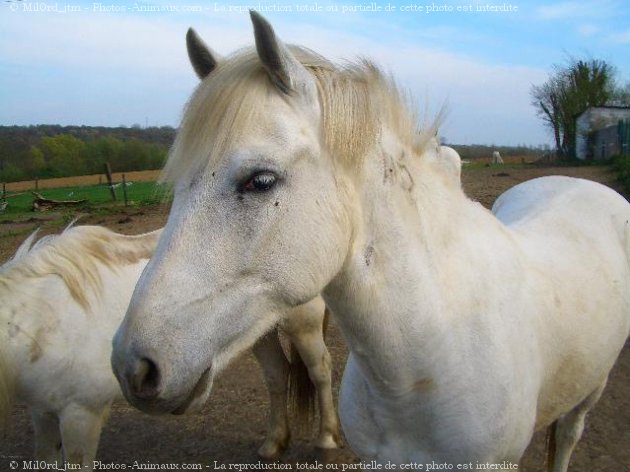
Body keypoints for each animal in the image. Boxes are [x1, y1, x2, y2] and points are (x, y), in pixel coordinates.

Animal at [1, 226, 340, 468]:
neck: (42, 317)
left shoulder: (81, 415)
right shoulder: (43, 413)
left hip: (303, 325)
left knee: (320, 370)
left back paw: (326, 438)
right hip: (260, 333)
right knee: (277, 375)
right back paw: (273, 444)